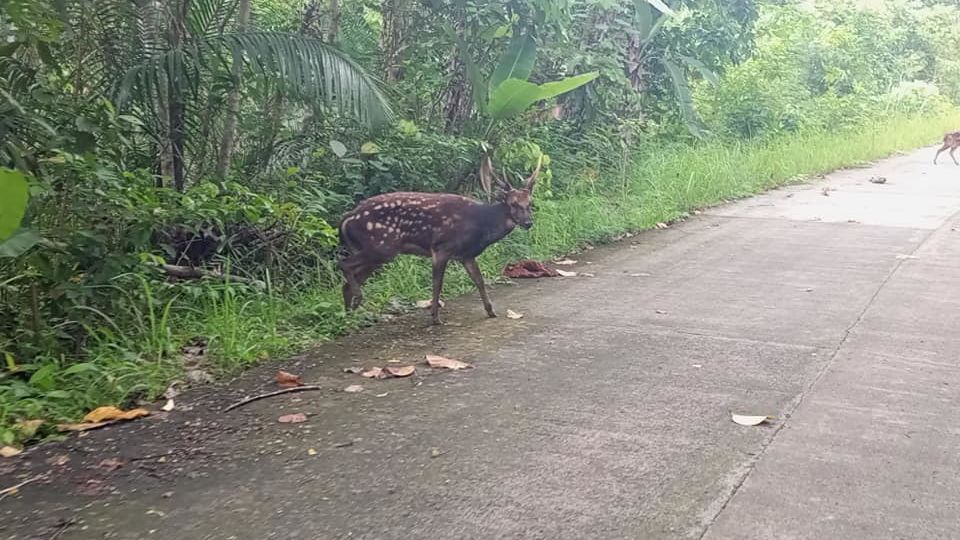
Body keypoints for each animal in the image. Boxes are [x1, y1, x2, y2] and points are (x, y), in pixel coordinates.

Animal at [338, 152, 540, 324]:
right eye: (513, 203)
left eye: (530, 203)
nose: (528, 222)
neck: (482, 224)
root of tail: (346, 219)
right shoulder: (441, 248)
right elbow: (437, 284)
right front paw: (435, 317)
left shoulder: (466, 255)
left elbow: (479, 280)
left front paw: (491, 311)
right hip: (380, 246)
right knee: (343, 264)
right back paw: (357, 301)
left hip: (376, 253)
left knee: (347, 282)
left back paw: (350, 316)